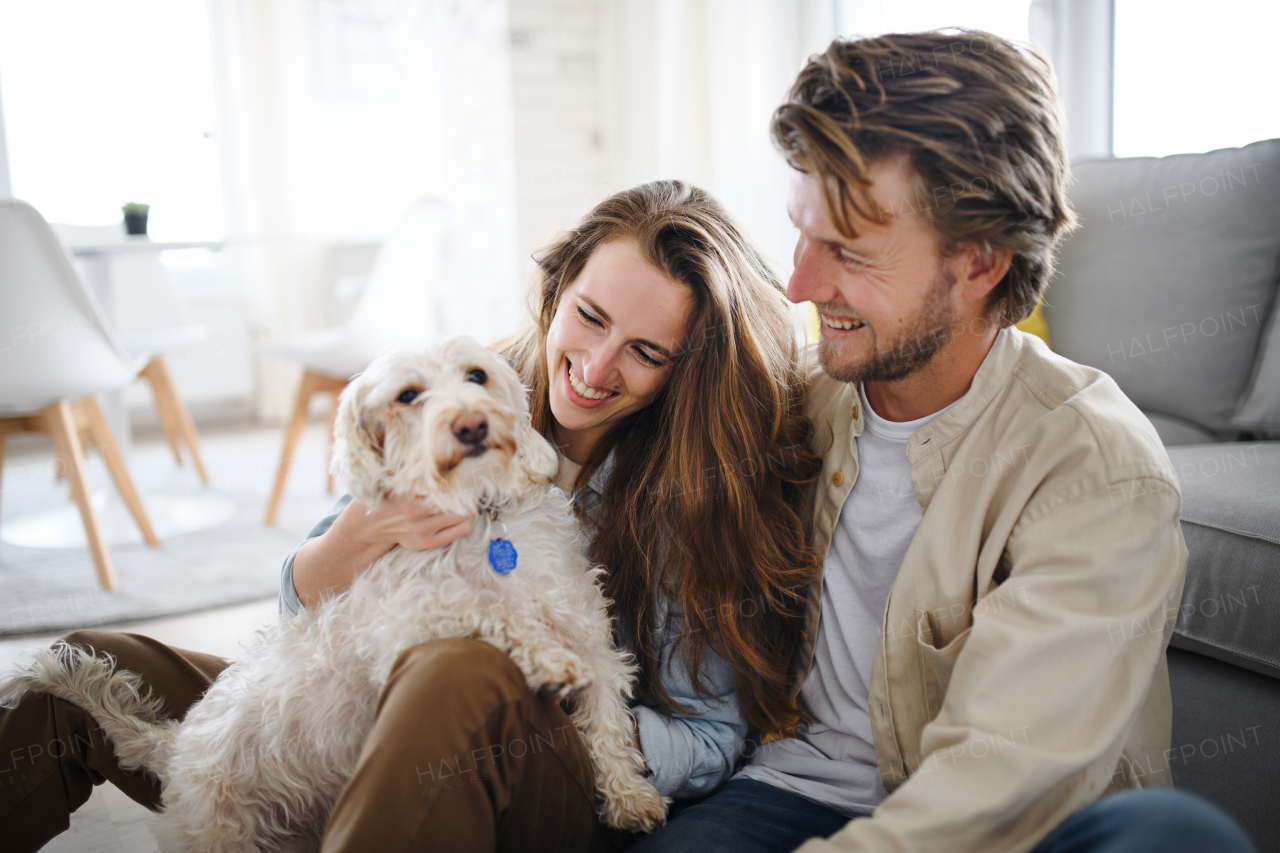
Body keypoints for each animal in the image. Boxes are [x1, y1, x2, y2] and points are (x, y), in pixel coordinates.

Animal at [2, 338, 670, 850]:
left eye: (476, 376)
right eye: (408, 396)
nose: (471, 424)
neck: (483, 520)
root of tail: (177, 748)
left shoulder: (594, 640)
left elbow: (609, 721)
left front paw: (630, 798)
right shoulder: (404, 622)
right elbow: (482, 610)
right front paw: (546, 659)